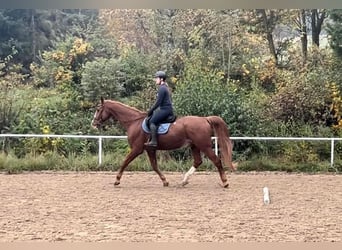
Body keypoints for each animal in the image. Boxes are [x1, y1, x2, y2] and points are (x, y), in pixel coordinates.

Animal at [91, 97, 235, 188]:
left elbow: (124, 162)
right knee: (198, 161)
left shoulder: (137, 149)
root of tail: (205, 119)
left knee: (216, 160)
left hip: (204, 146)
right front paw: (165, 181)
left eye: (98, 109)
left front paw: (117, 180)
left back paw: (225, 182)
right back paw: (184, 181)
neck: (134, 122)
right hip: (194, 146)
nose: (93, 123)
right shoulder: (150, 149)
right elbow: (154, 166)